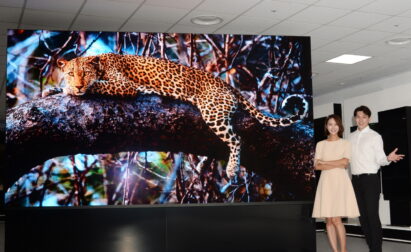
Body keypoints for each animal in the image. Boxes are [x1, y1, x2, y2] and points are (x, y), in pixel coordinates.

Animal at [58, 53, 308, 179]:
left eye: (84, 73)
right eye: (70, 73)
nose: (77, 84)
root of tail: (227, 85)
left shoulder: (124, 85)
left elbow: (98, 85)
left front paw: (71, 90)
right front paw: (59, 88)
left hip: (212, 111)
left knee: (236, 139)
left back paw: (231, 169)